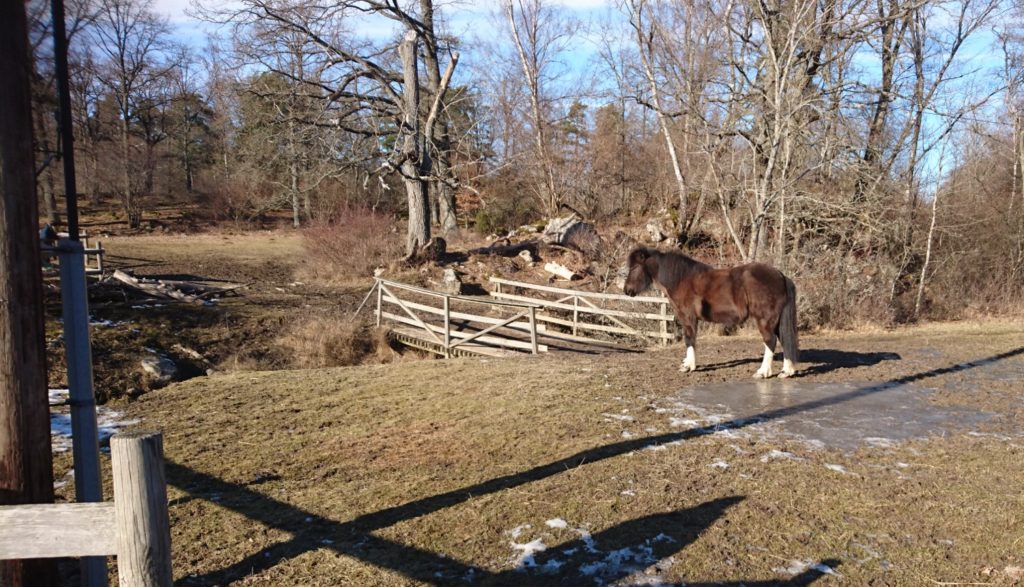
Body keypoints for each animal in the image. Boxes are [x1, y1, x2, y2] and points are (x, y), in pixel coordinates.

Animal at [622, 245, 798, 374]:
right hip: (776, 320)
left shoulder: (688, 317)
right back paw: (786, 371)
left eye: (634, 268)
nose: (627, 290)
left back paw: (763, 372)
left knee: (770, 340)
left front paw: (689, 366)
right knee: (783, 339)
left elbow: (689, 339)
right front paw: (687, 363)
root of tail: (780, 275)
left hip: (764, 319)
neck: (681, 279)